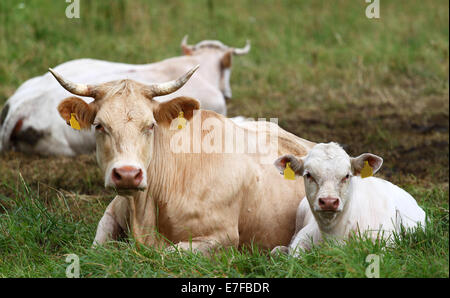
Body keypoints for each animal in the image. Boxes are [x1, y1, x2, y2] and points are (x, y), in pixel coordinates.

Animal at [48, 65, 316, 254]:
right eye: (99, 126)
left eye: (150, 125)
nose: (127, 174)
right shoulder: (110, 215)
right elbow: (96, 249)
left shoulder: (220, 237)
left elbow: (168, 253)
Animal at [272, 142, 428, 256]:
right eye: (308, 174)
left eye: (347, 175)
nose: (329, 201)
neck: (334, 235)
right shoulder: (302, 238)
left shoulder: (386, 241)